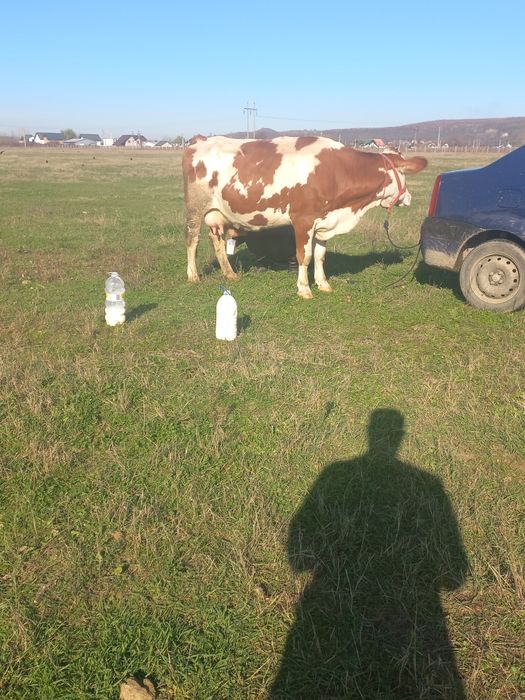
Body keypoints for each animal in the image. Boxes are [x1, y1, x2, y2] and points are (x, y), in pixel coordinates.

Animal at [183, 135, 427, 298]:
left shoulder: (324, 222)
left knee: (217, 241)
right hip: (195, 209)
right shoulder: (303, 221)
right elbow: (305, 256)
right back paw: (193, 275)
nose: (409, 197)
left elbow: (319, 256)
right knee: (192, 240)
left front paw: (323, 283)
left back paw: (230, 273)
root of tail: (200, 139)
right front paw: (304, 288)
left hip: (218, 213)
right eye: (404, 174)